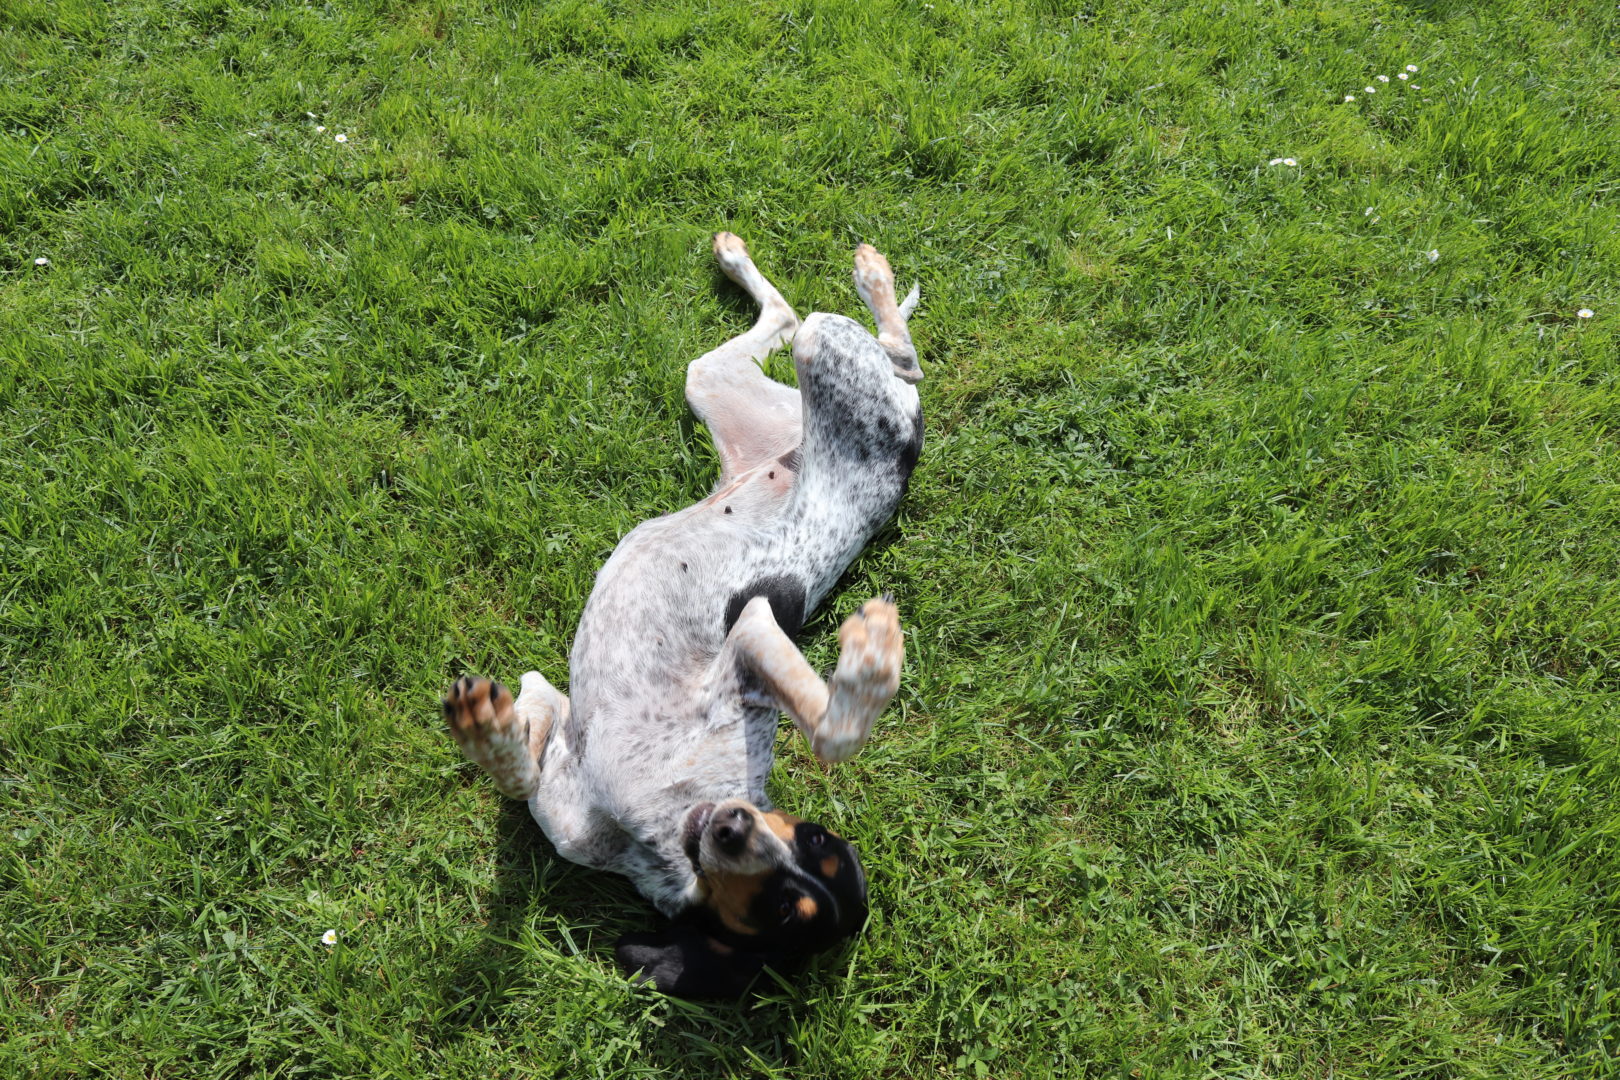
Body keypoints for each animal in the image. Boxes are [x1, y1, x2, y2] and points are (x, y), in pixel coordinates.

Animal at [443, 234, 926, 997]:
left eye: (787, 910)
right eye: (812, 837)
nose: (734, 825)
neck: (666, 831)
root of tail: (906, 449)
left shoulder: (745, 639)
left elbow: (834, 733)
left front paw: (873, 662)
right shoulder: (561, 710)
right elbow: (518, 750)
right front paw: (485, 725)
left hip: (827, 356)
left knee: (885, 352)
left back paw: (869, 278)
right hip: (723, 379)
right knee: (817, 326)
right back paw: (785, 265)